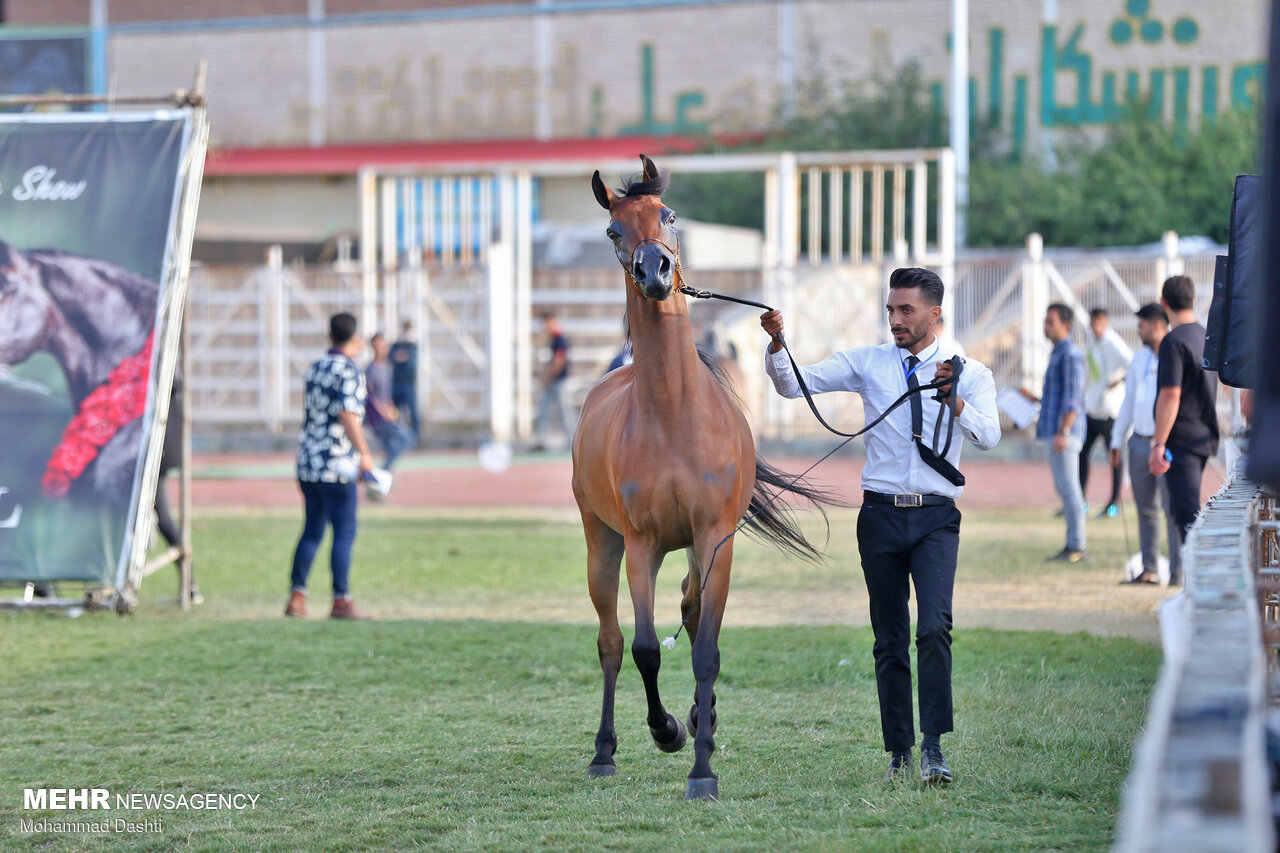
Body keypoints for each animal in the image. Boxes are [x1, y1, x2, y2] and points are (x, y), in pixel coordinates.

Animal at [573, 154, 829, 799]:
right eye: (613, 231)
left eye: (668, 215)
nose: (655, 270)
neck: (673, 415)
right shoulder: (641, 544)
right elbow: (643, 648)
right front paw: (666, 731)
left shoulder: (715, 538)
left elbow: (706, 647)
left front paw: (702, 764)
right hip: (601, 541)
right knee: (611, 642)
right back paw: (605, 750)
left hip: (691, 547)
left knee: (689, 608)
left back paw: (698, 715)